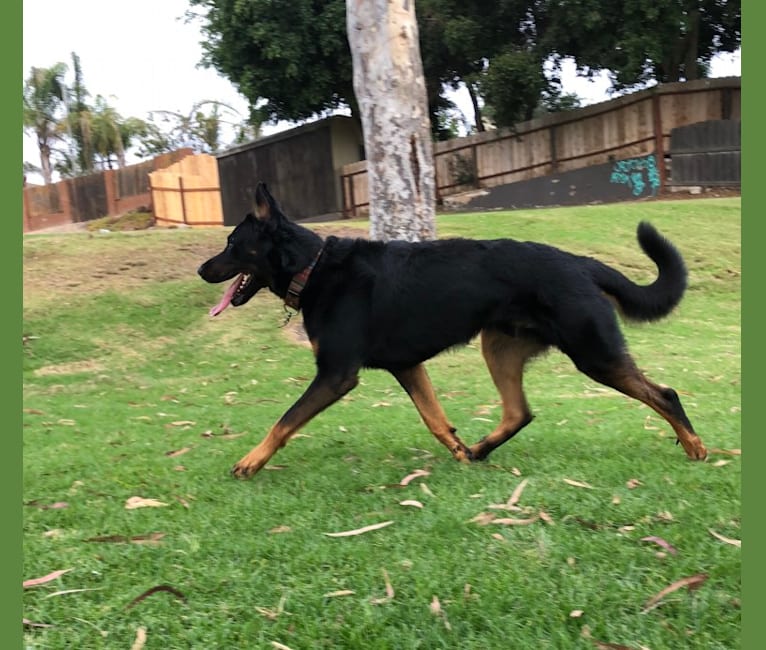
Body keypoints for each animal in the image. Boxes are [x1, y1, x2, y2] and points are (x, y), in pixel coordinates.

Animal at [201, 182, 712, 476]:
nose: (203, 270)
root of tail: (579, 262)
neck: (313, 267)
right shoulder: (407, 366)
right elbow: (433, 418)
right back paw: (481, 450)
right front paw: (458, 447)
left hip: (593, 352)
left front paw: (250, 461)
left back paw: (695, 447)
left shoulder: (336, 375)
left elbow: (285, 420)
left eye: (231, 242)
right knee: (519, 413)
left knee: (664, 394)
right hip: (500, 348)